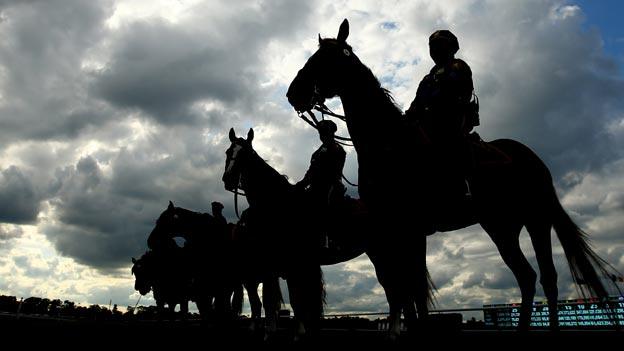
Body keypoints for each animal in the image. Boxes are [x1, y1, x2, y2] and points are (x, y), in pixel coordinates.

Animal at [222, 128, 372, 340]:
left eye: (244, 155)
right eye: (228, 152)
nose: (227, 180)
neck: (280, 208)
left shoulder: (291, 264)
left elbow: (292, 299)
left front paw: (293, 333)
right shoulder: (283, 266)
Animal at [286, 19, 620, 336]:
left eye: (323, 59)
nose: (292, 93)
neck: (389, 144)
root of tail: (532, 157)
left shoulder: (409, 227)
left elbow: (414, 290)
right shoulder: (394, 229)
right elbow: (407, 292)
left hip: (536, 218)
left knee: (547, 277)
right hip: (502, 225)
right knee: (527, 277)